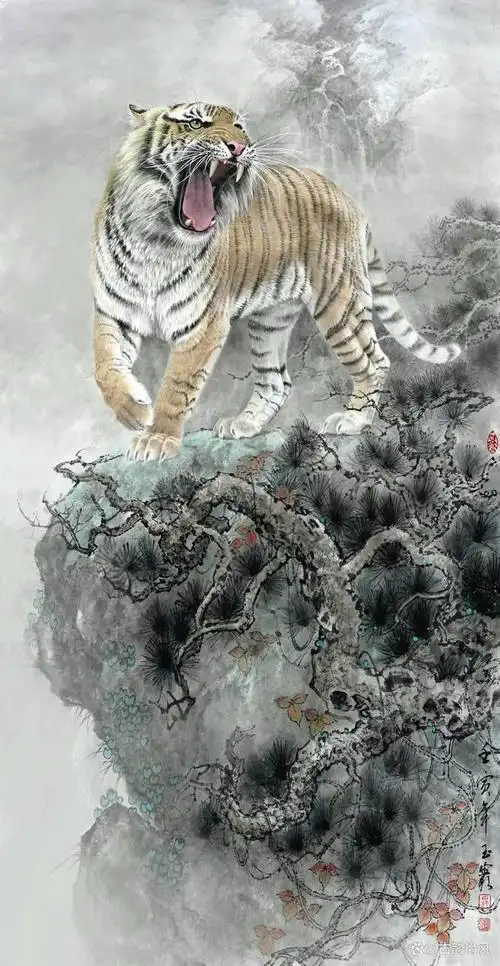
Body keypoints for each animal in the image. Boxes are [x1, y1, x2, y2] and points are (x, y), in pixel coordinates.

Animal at [91, 100, 461, 462]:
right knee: (277, 382)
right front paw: (134, 410)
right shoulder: (115, 311)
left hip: (337, 304)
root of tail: (345, 196)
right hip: (270, 320)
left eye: (239, 126)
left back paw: (353, 420)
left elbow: (177, 386)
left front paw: (158, 438)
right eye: (196, 123)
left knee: (373, 361)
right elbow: (105, 367)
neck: (156, 239)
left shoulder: (202, 325)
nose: (239, 147)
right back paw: (245, 424)